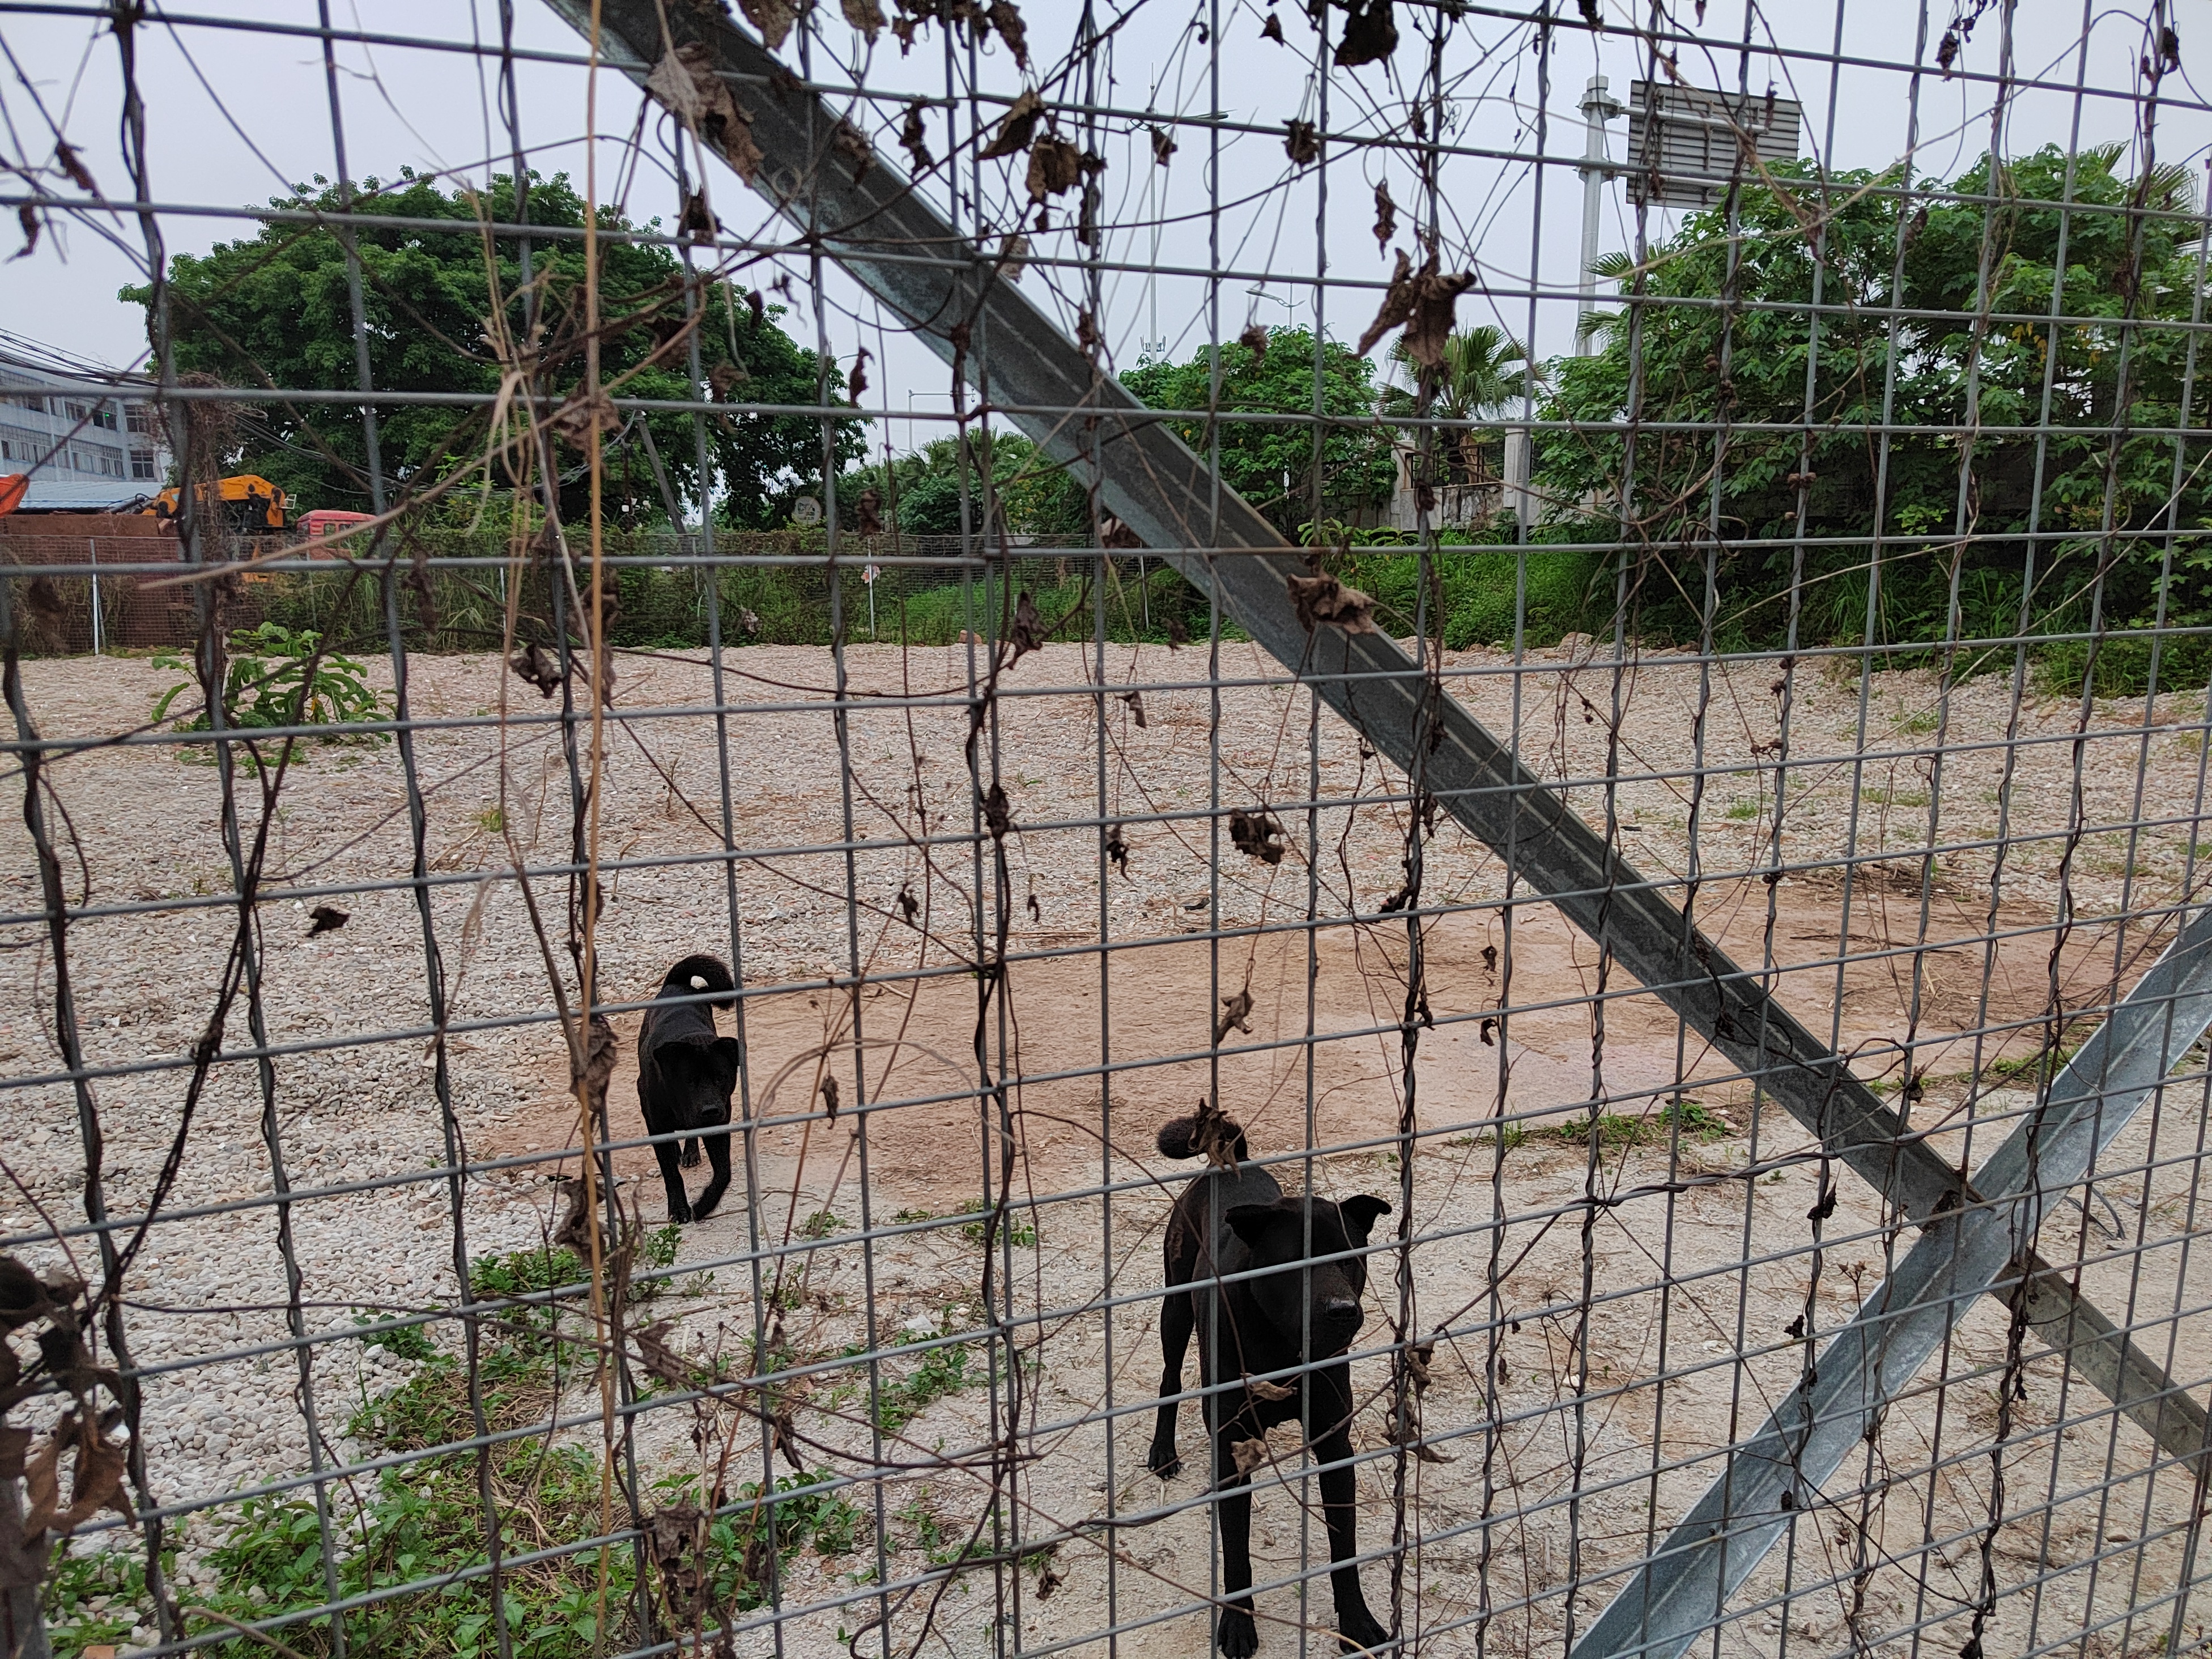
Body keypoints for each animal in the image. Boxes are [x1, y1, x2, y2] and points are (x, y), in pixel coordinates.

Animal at [637, 960, 747, 1221]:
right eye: (688, 1081)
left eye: (721, 1077)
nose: (711, 1110)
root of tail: (677, 984)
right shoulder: (656, 1125)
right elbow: (670, 1173)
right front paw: (679, 1209)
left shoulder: (719, 1125)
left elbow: (723, 1172)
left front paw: (704, 1205)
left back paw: (690, 1153)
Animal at [1150, 1110, 1389, 1654]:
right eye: (1294, 1263)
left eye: (1350, 1259)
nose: (1344, 1312)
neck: (1282, 1348)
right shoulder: (1231, 1450)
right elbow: (1236, 1554)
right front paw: (1239, 1627)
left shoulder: (1335, 1444)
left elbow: (1344, 1546)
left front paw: (1357, 1623)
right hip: (1175, 1308)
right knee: (1170, 1379)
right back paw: (1163, 1451)